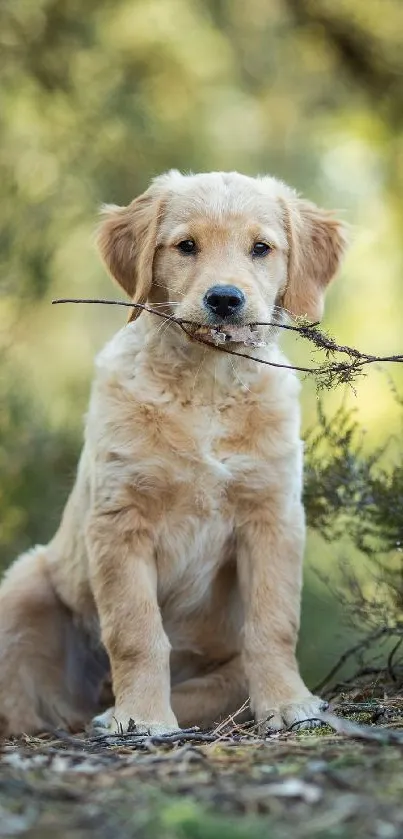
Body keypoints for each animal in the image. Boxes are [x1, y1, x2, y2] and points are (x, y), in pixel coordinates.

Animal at [0, 171, 348, 736]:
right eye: (186, 246)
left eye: (261, 248)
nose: (224, 299)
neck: (207, 384)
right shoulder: (120, 520)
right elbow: (137, 631)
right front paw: (141, 717)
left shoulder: (271, 515)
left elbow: (274, 622)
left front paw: (288, 703)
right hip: (24, 584)